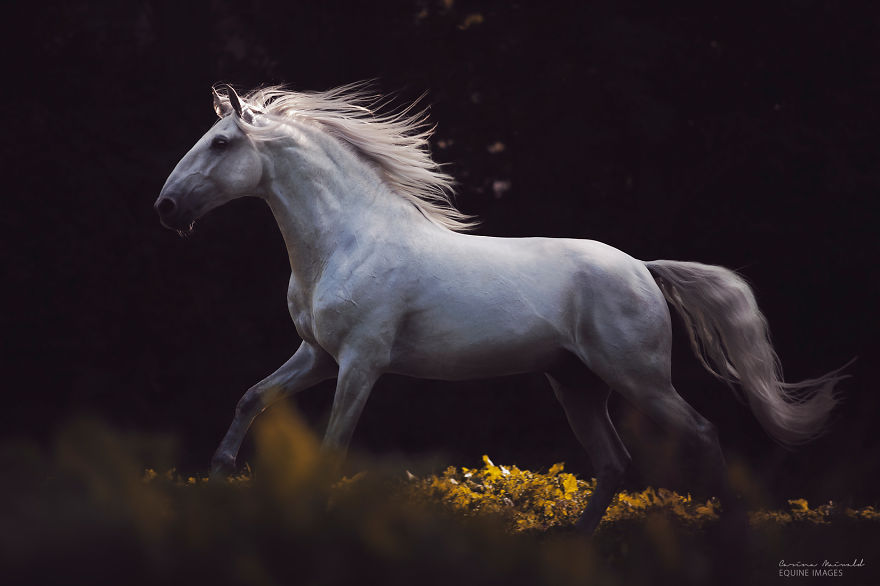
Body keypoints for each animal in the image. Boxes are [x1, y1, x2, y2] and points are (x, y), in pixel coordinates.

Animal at [154, 83, 847, 533]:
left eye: (221, 143)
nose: (166, 208)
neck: (346, 240)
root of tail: (643, 269)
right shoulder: (318, 355)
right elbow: (251, 397)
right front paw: (218, 480)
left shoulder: (360, 363)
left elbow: (331, 447)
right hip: (576, 384)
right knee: (614, 462)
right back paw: (570, 544)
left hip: (637, 378)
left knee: (699, 434)